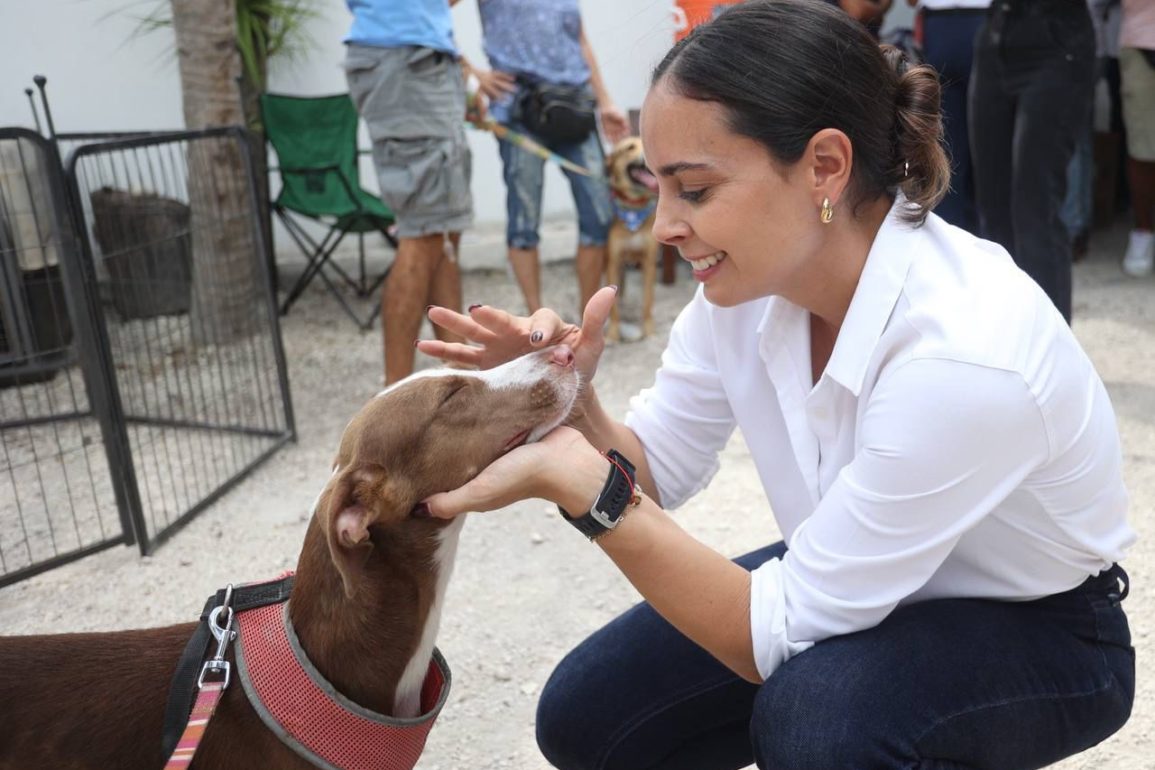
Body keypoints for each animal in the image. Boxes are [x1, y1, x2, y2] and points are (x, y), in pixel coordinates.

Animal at [605, 137, 660, 344]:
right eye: (629, 148)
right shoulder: (613, 263)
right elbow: (612, 308)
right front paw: (613, 334)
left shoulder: (649, 263)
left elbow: (647, 302)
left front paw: (649, 332)